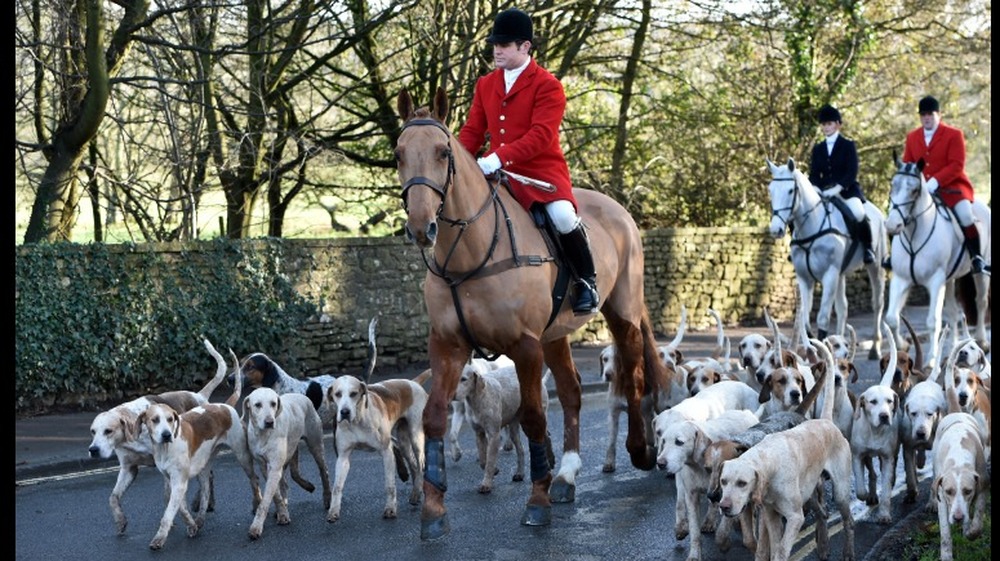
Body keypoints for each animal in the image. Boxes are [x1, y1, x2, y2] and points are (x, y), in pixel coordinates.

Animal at [394, 86, 668, 540]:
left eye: (442, 152)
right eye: (398, 154)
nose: (421, 227)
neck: (469, 253)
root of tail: (616, 209)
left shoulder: (524, 347)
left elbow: (536, 418)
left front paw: (537, 502)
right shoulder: (447, 346)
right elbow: (433, 418)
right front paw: (433, 509)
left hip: (621, 312)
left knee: (633, 375)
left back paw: (638, 450)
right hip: (555, 335)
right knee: (572, 391)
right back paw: (568, 474)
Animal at [768, 158, 888, 358]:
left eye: (791, 190)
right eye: (771, 190)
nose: (775, 230)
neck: (813, 226)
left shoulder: (829, 275)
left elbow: (822, 318)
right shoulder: (805, 278)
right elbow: (805, 320)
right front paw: (812, 351)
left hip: (875, 267)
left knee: (877, 303)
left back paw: (874, 349)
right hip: (840, 275)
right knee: (843, 308)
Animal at [888, 154, 988, 372]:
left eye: (914, 190)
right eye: (893, 185)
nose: (892, 225)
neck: (914, 235)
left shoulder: (935, 281)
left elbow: (933, 321)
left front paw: (931, 360)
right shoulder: (900, 279)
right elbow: (891, 318)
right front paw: (902, 345)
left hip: (980, 274)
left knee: (981, 301)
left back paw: (981, 340)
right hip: (949, 280)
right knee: (953, 313)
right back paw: (955, 349)